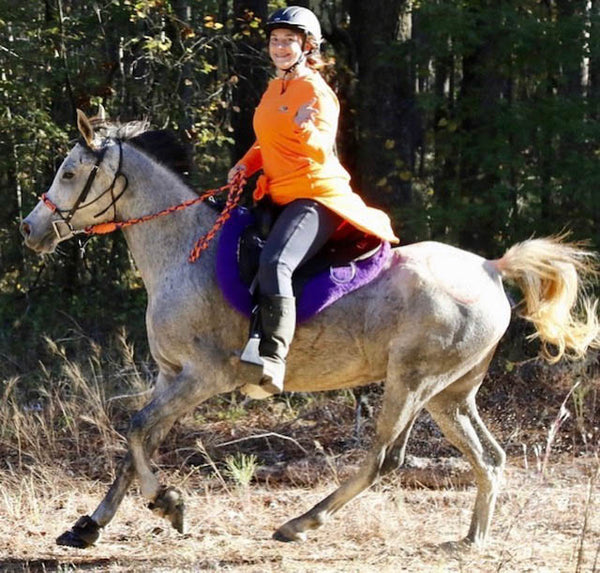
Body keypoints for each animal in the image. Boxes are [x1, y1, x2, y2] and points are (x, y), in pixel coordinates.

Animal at [19, 109, 600, 548]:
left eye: (69, 173)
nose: (29, 229)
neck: (184, 251)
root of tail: (491, 267)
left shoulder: (203, 377)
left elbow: (138, 429)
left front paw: (169, 504)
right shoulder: (170, 376)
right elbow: (137, 441)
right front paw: (89, 527)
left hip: (413, 382)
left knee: (384, 458)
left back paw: (300, 523)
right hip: (451, 394)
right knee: (489, 458)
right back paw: (472, 539)